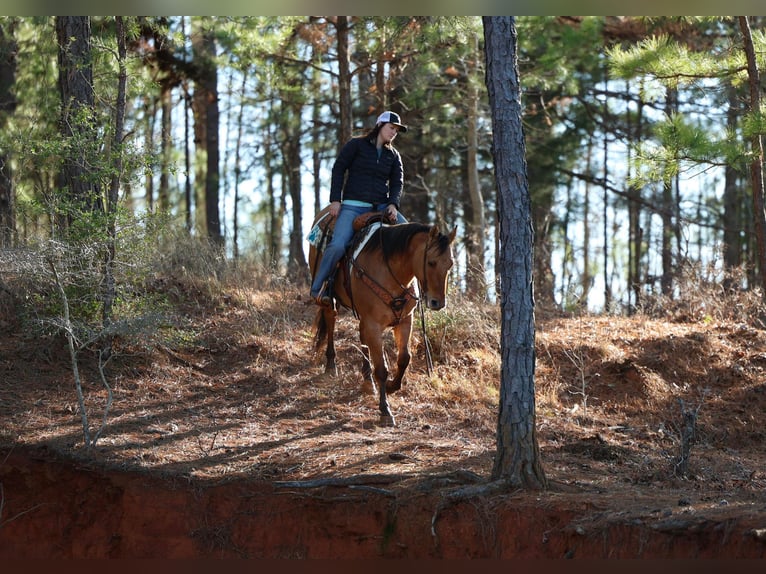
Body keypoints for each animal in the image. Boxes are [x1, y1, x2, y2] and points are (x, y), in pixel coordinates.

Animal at [310, 207, 460, 428]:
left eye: (450, 264)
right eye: (431, 262)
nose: (437, 303)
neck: (391, 270)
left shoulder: (405, 320)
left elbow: (404, 358)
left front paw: (391, 387)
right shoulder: (374, 324)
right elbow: (381, 368)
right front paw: (385, 410)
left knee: (361, 336)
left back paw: (366, 380)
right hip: (331, 298)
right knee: (330, 319)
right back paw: (331, 365)